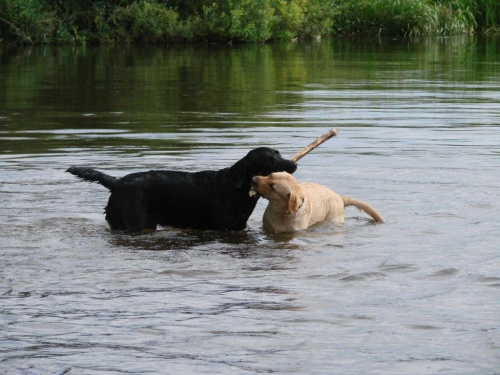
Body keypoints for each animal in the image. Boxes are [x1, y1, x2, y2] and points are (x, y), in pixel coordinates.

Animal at [66, 148, 296, 232]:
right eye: (271, 160)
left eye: (279, 153)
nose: (294, 164)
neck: (235, 187)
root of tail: (117, 182)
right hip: (132, 223)